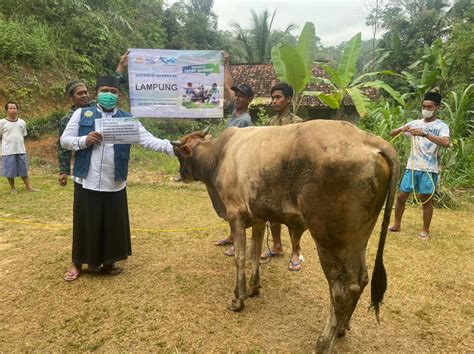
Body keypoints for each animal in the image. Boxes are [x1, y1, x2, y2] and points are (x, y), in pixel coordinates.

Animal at [171, 120, 400, 352]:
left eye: (178, 154)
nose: (180, 174)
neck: (219, 155)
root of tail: (369, 139)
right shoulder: (258, 218)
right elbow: (255, 253)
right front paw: (254, 288)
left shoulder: (236, 217)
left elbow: (240, 258)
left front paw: (238, 299)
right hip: (358, 239)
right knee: (361, 280)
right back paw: (342, 328)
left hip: (329, 240)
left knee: (343, 289)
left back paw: (324, 341)